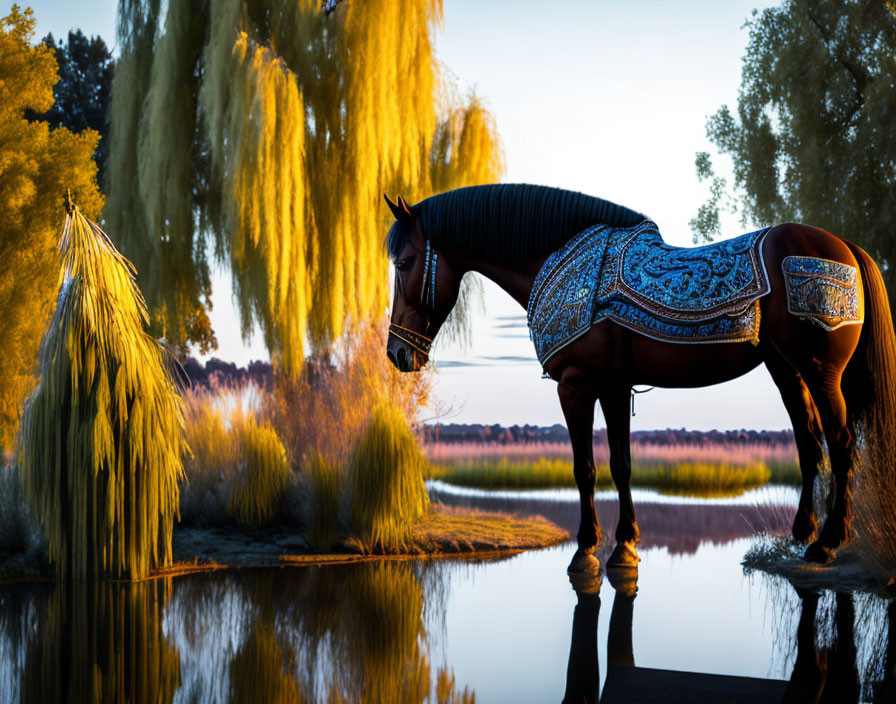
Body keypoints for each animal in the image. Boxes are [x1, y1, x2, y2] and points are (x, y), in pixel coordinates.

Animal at [384, 184, 896, 576]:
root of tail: (846, 247)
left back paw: (827, 544)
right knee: (809, 443)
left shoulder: (575, 386)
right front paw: (625, 547)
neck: (561, 261)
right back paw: (802, 533)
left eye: (405, 262)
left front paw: (585, 550)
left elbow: (585, 468)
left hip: (821, 372)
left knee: (842, 443)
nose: (397, 353)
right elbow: (621, 464)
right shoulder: (613, 387)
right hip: (787, 369)